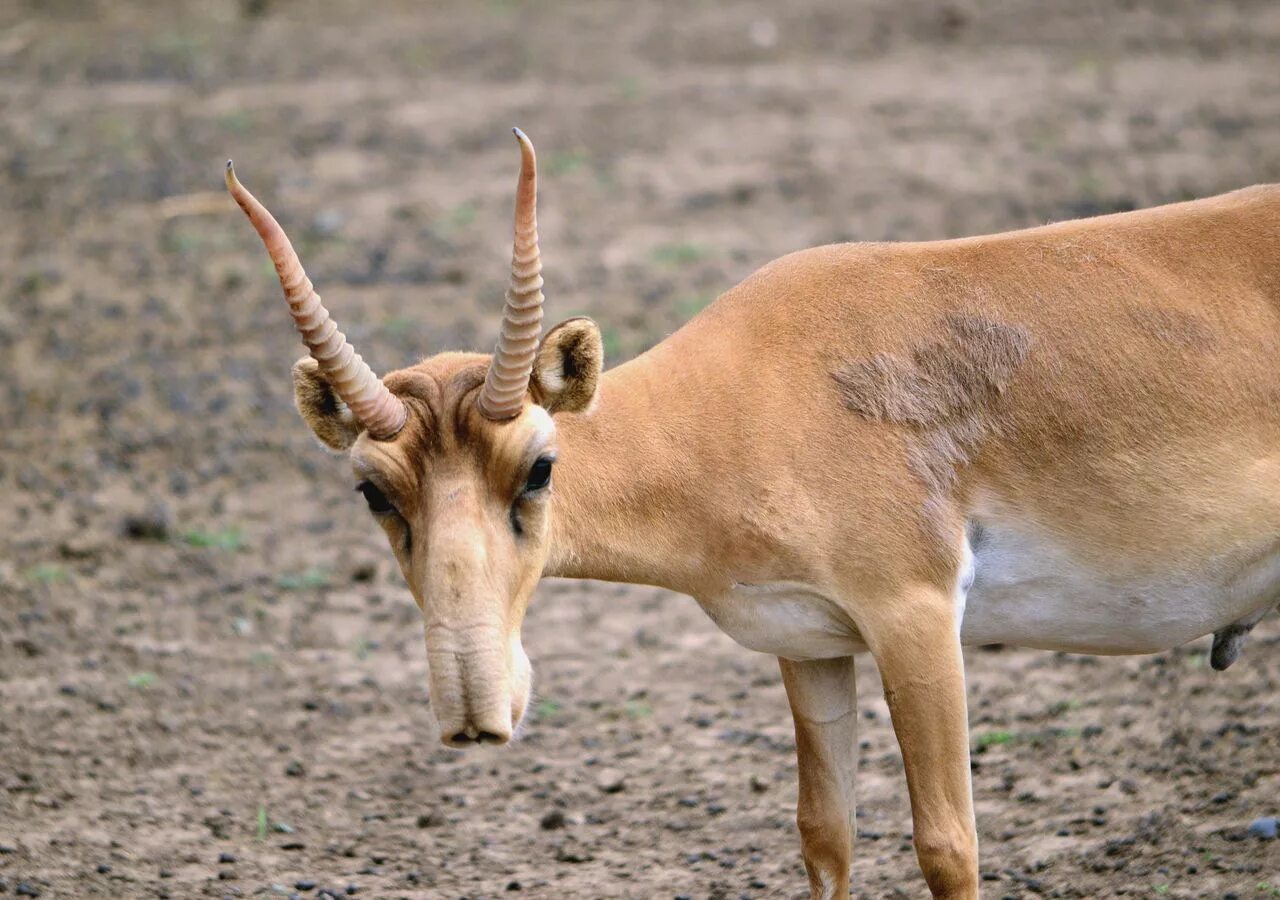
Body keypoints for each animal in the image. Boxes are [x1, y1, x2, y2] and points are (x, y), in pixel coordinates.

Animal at [227, 128, 1280, 900]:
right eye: (372, 489)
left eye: (538, 468)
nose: (476, 710)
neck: (748, 395)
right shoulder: (808, 644)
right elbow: (825, 835)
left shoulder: (916, 616)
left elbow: (949, 845)